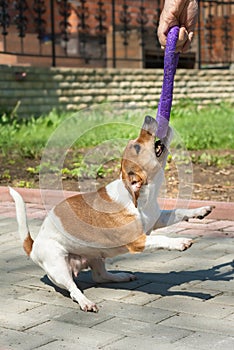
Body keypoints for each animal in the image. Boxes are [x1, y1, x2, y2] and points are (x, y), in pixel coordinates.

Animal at [9, 116, 214, 314]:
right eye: (136, 147)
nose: (148, 117)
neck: (140, 197)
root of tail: (34, 245)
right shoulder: (137, 241)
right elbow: (162, 239)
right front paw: (180, 242)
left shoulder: (157, 219)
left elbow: (179, 212)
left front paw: (201, 210)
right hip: (59, 267)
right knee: (73, 289)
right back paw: (86, 302)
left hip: (96, 256)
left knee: (100, 276)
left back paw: (121, 276)